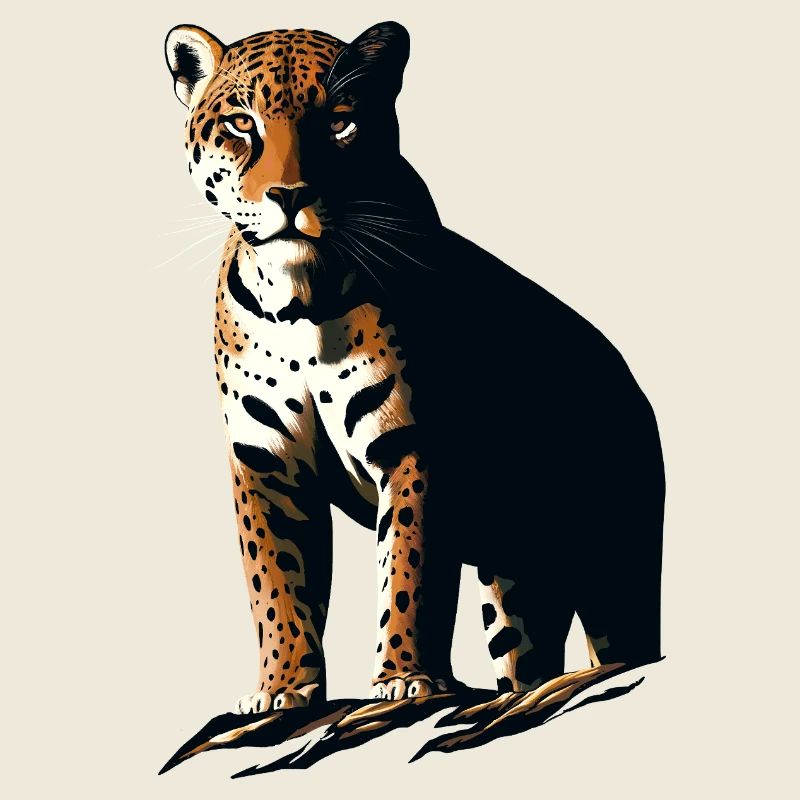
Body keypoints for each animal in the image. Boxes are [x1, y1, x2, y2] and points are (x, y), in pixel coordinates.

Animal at [164, 20, 665, 718]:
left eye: (340, 122)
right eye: (242, 123)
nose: (290, 194)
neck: (299, 300)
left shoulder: (413, 445)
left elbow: (408, 570)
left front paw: (405, 678)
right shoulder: (265, 460)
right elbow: (277, 584)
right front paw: (284, 688)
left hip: (617, 563)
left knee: (626, 641)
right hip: (515, 579)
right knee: (526, 655)